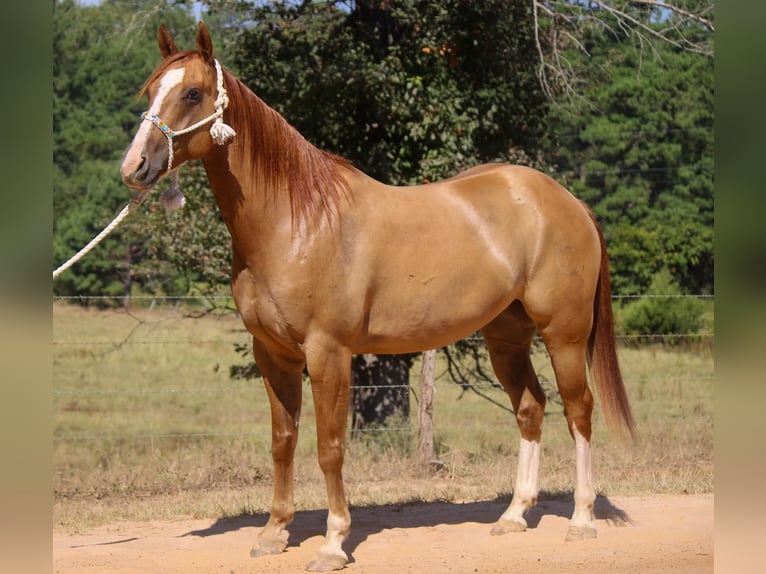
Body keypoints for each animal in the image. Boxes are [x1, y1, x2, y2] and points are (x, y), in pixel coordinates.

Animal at [120, 22, 636, 574]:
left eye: (193, 93)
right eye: (150, 91)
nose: (135, 166)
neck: (296, 222)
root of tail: (568, 201)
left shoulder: (328, 353)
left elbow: (329, 447)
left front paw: (332, 542)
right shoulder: (273, 354)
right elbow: (283, 441)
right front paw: (274, 533)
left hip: (564, 333)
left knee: (578, 410)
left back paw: (581, 519)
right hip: (506, 337)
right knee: (531, 409)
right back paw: (515, 515)